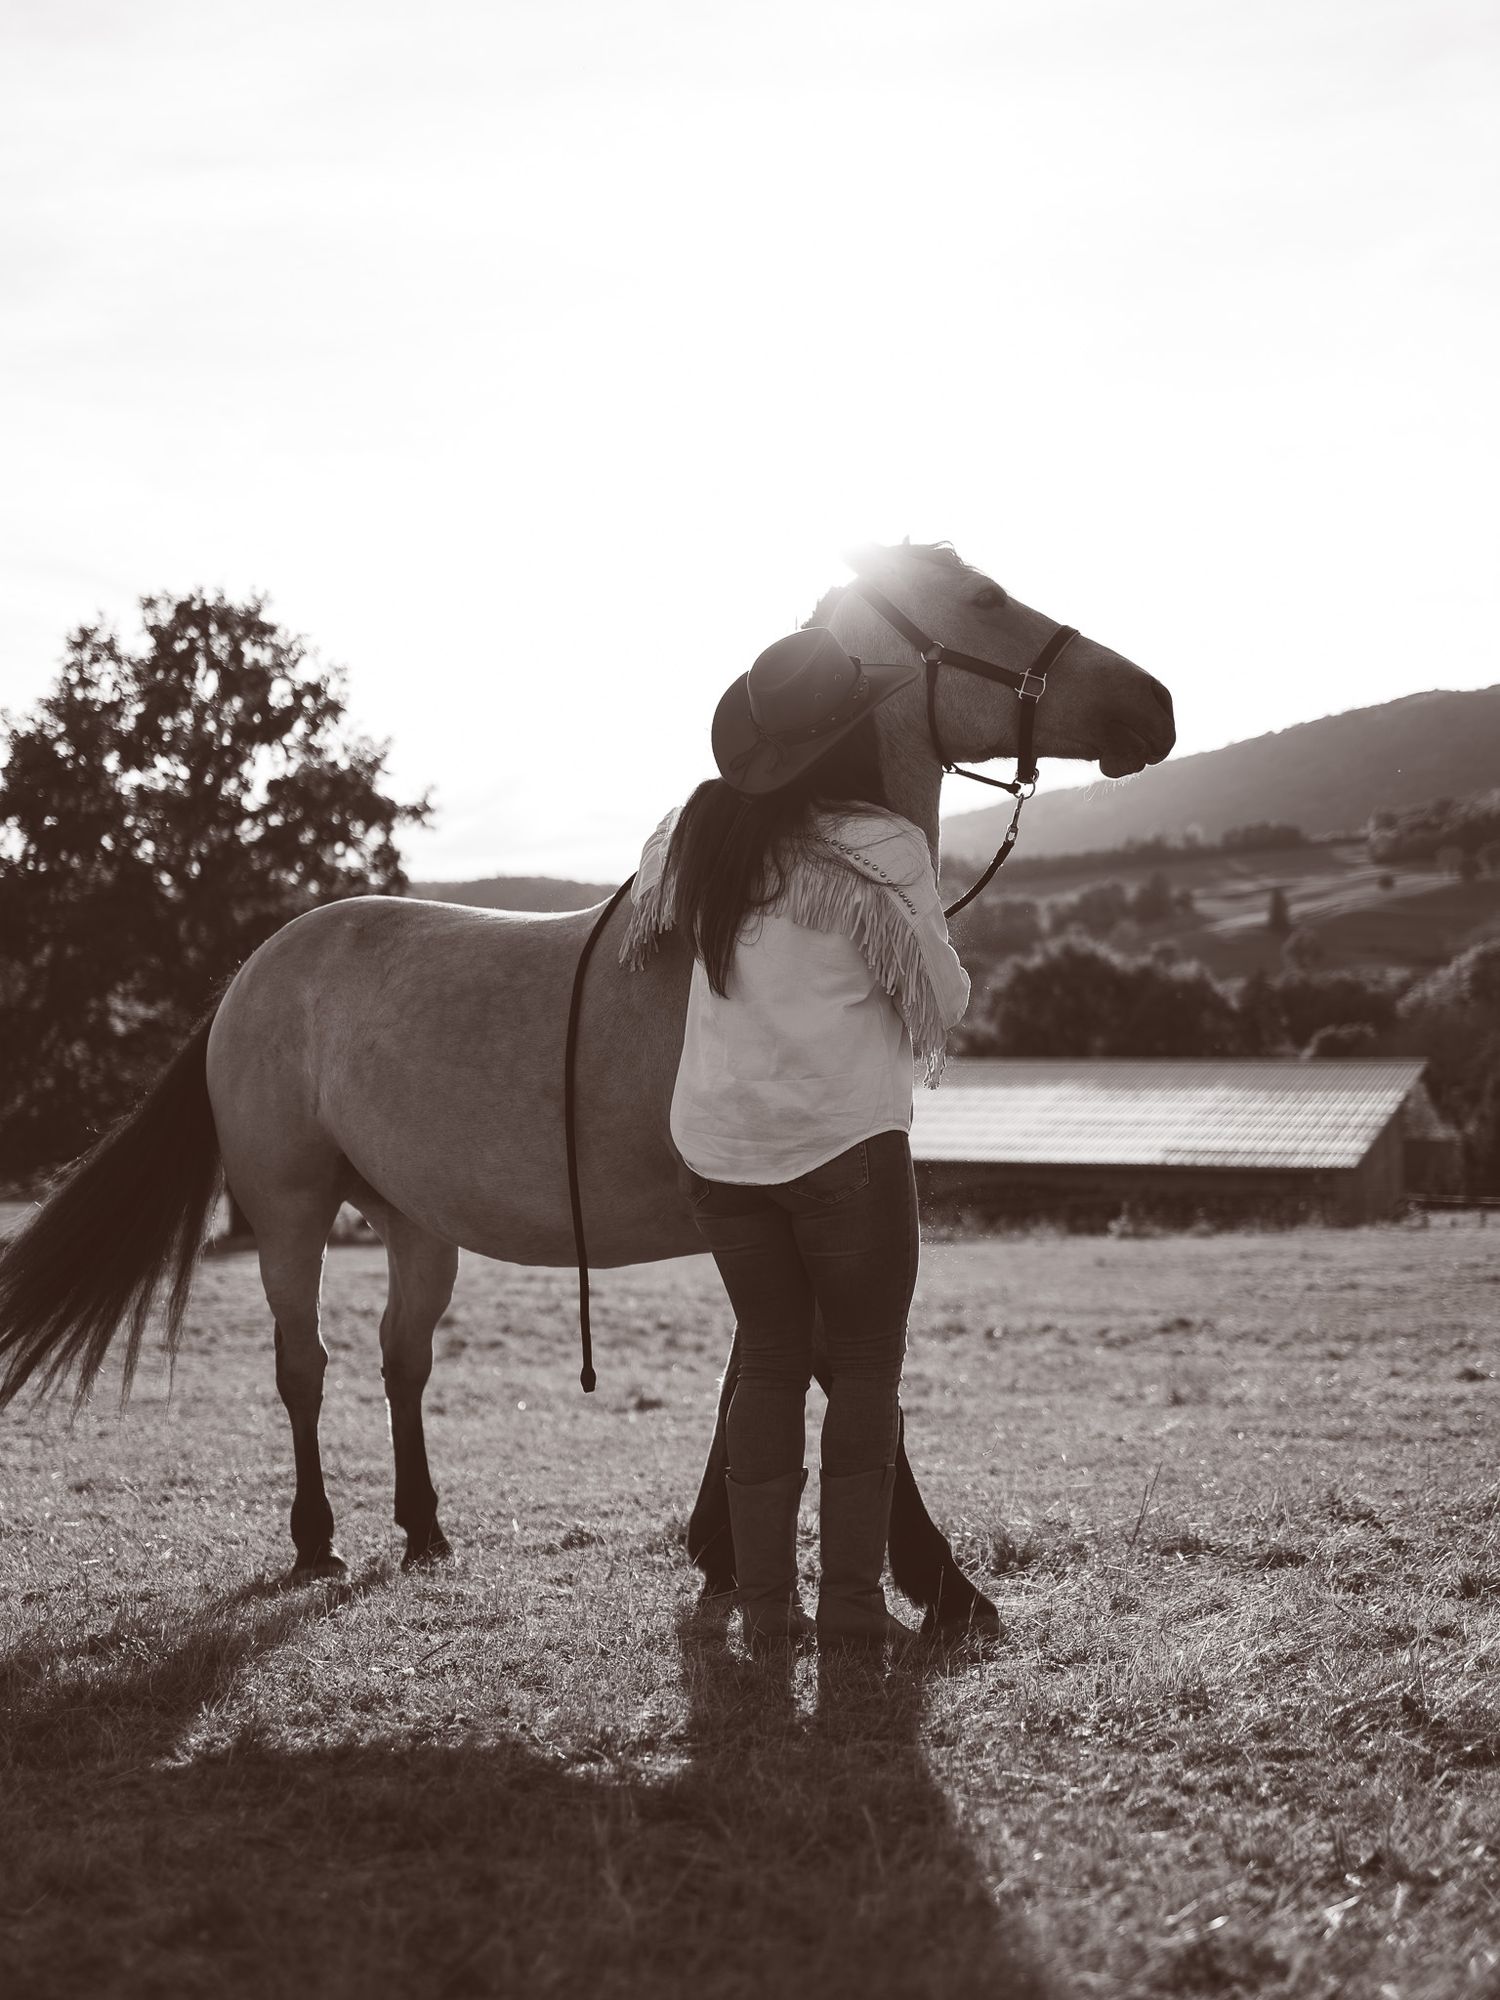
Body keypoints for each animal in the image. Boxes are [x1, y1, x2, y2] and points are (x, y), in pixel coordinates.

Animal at [0, 541, 1175, 1632]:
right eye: (984, 598)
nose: (1154, 704)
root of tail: (253, 972)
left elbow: (755, 1375)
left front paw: (718, 1550)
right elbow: (840, 1377)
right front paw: (943, 1584)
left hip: (417, 1225)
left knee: (401, 1360)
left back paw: (423, 1528)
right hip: (291, 1211)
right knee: (306, 1366)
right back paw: (317, 1538)